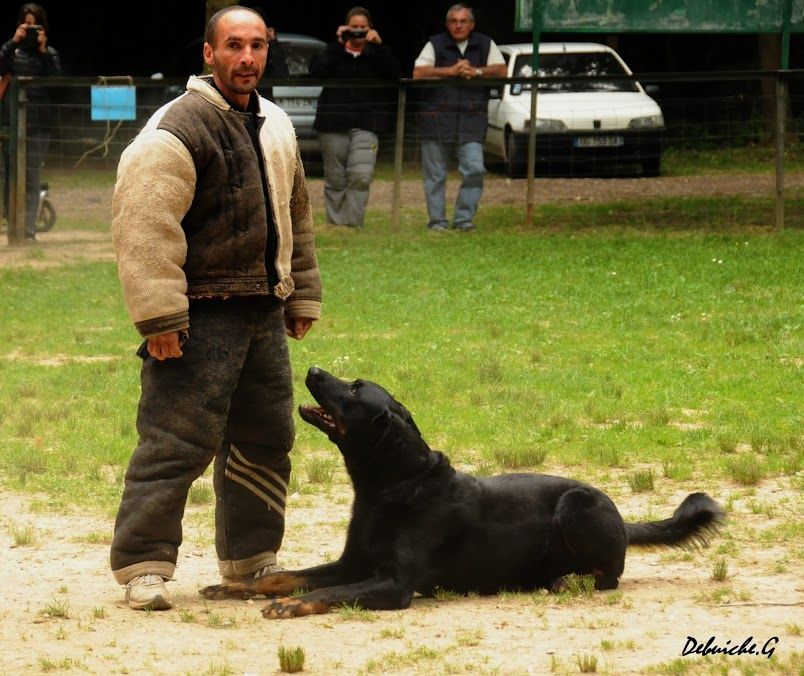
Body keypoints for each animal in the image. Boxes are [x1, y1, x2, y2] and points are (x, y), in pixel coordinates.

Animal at [199, 370, 724, 616]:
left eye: (353, 387)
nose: (309, 367)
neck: (394, 485)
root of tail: (622, 516)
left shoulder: (394, 583)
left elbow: (332, 592)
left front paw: (291, 605)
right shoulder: (352, 563)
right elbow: (286, 576)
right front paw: (236, 587)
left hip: (577, 506)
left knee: (609, 575)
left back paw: (564, 580)